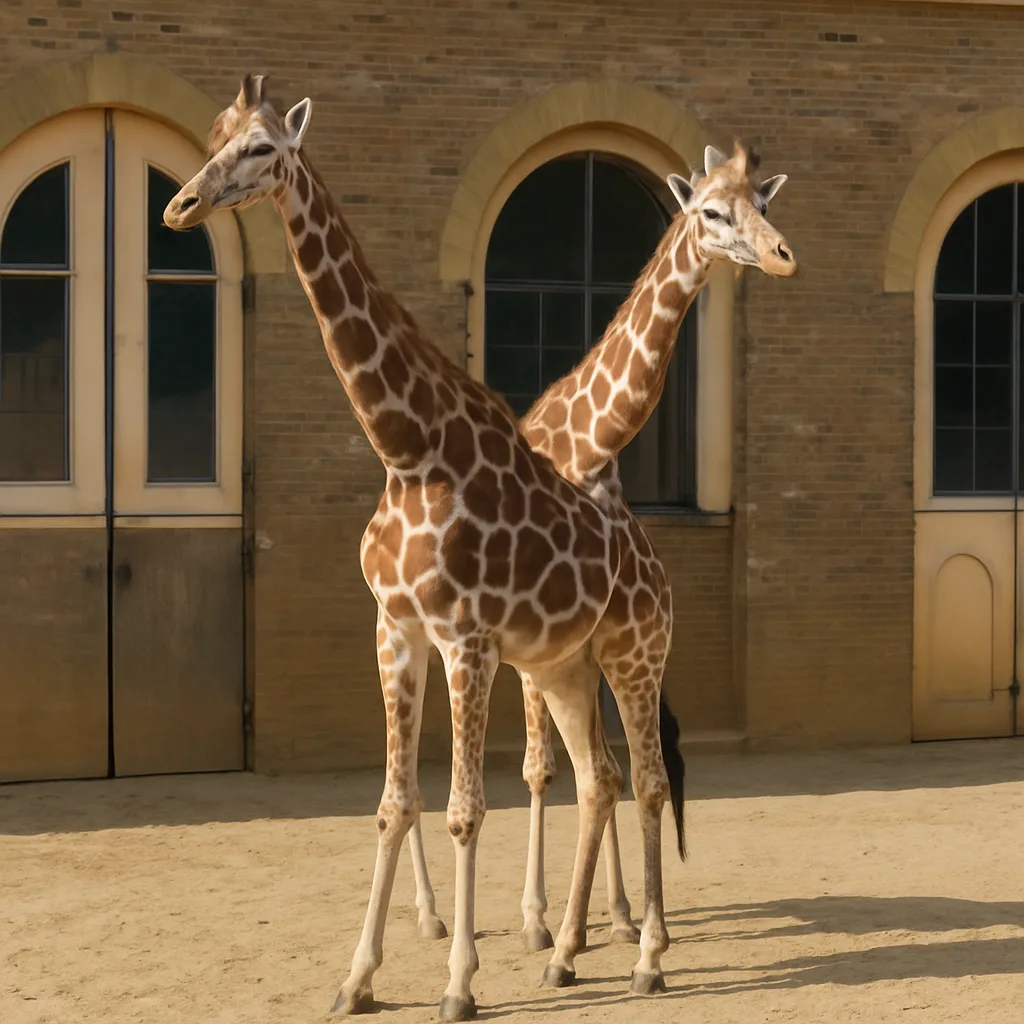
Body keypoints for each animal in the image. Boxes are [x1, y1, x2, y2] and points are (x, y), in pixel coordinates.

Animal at [163, 75, 688, 1020]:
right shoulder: (397, 630)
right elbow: (392, 804)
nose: (181, 205)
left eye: (262, 149)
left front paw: (460, 984)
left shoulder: (466, 641)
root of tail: (655, 565)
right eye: (216, 137)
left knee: (651, 779)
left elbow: (463, 810)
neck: (406, 449)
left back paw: (647, 957)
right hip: (566, 666)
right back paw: (570, 953)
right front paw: (358, 978)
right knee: (601, 778)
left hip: (636, 654)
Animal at [403, 141, 797, 951]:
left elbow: (604, 766)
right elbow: (539, 770)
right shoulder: (533, 639)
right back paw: (429, 914)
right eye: (711, 211)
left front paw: (611, 916)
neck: (591, 444)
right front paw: (538, 921)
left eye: (765, 204)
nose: (781, 255)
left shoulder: (589, 632)